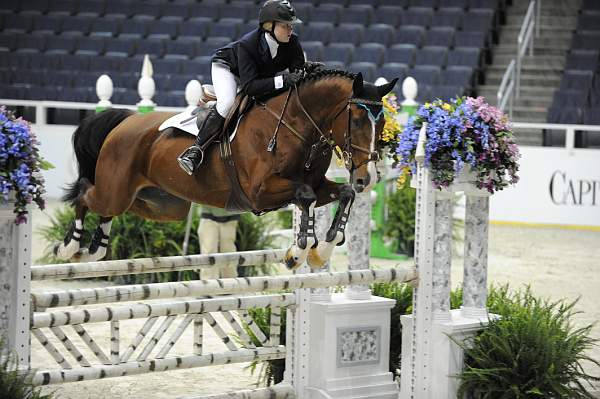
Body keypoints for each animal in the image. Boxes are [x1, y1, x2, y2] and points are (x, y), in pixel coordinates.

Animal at [55, 70, 398, 270]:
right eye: (357, 121)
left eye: (382, 122)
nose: (368, 179)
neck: (298, 125)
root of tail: (125, 121)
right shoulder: (260, 192)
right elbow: (306, 196)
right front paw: (300, 251)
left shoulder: (319, 184)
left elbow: (343, 193)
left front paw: (321, 249)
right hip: (117, 189)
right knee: (85, 195)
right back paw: (70, 246)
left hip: (160, 204)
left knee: (109, 209)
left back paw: (95, 248)